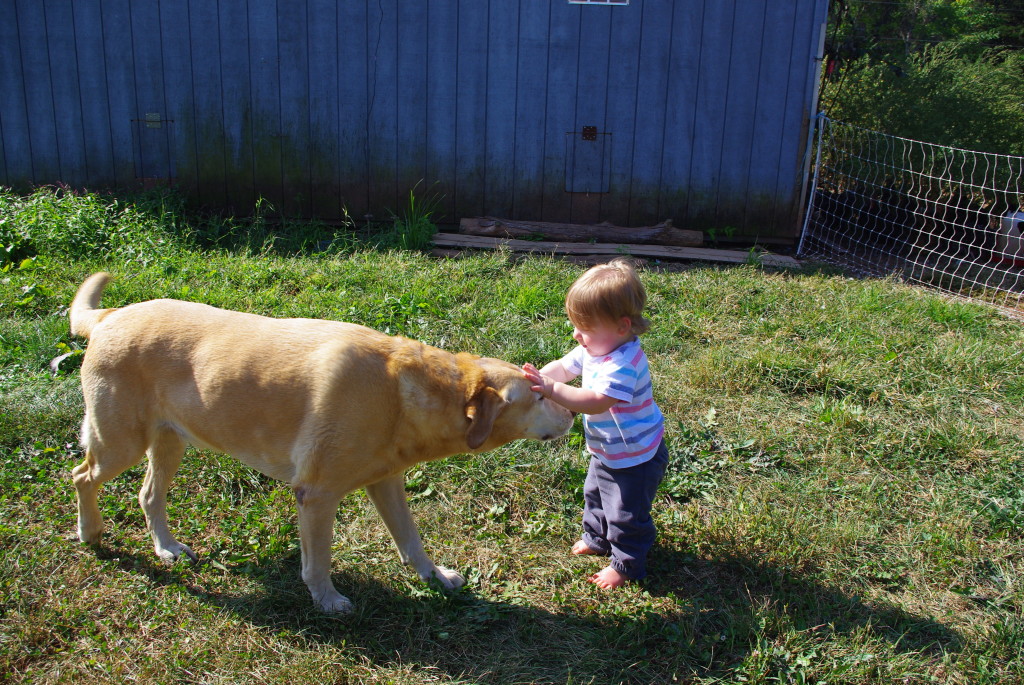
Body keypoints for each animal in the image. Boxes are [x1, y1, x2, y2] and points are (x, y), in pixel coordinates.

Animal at [68, 274, 573, 610]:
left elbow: (411, 541)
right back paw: (91, 532)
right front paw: (328, 601)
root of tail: (111, 315)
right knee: (81, 476)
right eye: (538, 394)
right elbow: (319, 561)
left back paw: (167, 548)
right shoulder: (317, 495)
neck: (400, 392)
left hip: (170, 442)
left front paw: (436, 577)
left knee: (148, 494)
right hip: (119, 444)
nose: (572, 413)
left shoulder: (387, 483)